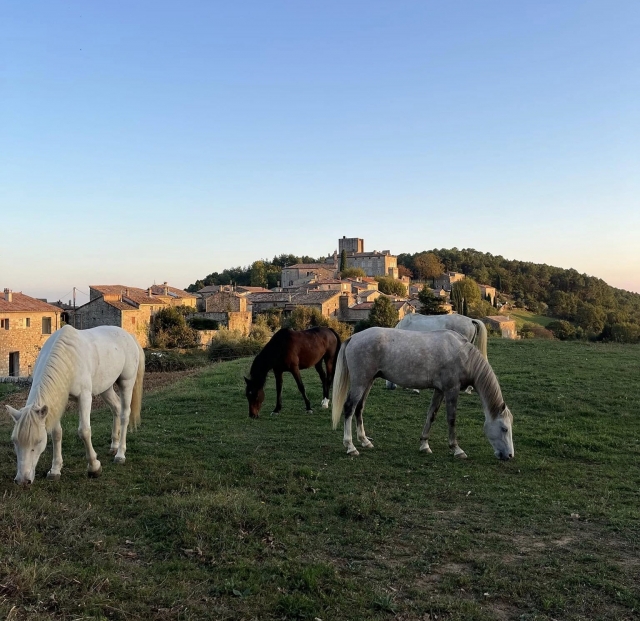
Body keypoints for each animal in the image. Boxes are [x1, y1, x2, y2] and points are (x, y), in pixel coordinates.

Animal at [5, 325, 145, 485]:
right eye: (14, 441)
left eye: (38, 441)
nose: (22, 480)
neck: (68, 358)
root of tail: (129, 335)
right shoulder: (57, 401)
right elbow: (56, 433)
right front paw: (55, 470)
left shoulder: (84, 397)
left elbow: (84, 431)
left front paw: (94, 468)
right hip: (106, 387)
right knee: (116, 407)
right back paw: (114, 446)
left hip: (126, 382)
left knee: (124, 415)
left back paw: (120, 454)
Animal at [331, 327, 514, 460]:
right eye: (504, 428)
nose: (509, 455)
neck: (463, 355)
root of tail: (354, 337)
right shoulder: (451, 390)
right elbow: (451, 419)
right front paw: (456, 448)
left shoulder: (440, 390)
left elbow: (431, 414)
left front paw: (424, 445)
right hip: (360, 382)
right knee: (349, 408)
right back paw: (350, 446)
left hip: (367, 382)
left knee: (359, 408)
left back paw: (364, 441)